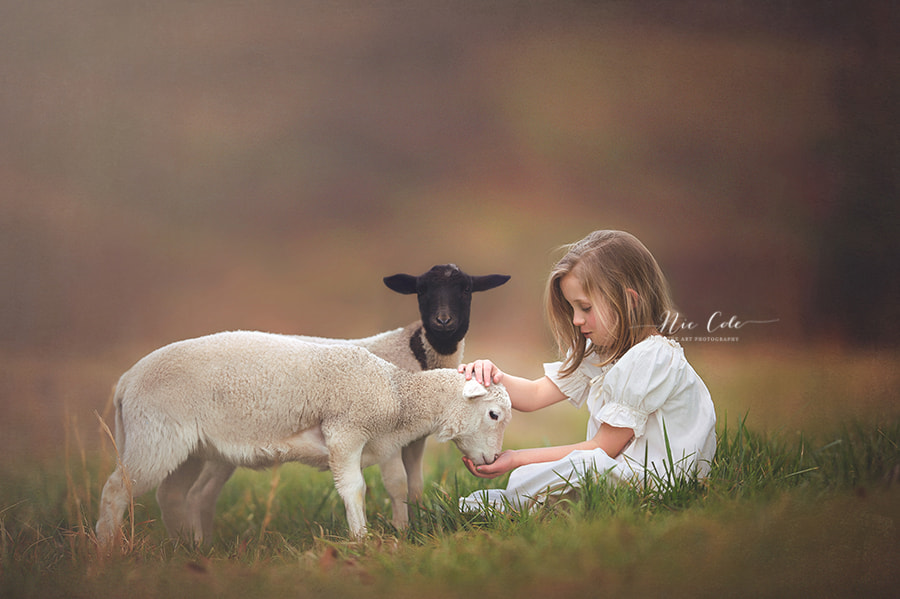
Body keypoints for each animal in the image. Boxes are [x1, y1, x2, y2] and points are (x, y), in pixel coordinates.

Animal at [96, 330, 512, 552]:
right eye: (494, 415)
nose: (493, 459)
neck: (398, 392)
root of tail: (126, 381)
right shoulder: (345, 431)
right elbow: (354, 488)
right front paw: (361, 540)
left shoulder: (383, 444)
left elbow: (397, 486)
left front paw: (400, 531)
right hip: (155, 434)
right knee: (117, 489)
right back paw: (109, 551)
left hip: (188, 447)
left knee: (171, 494)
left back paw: (188, 550)